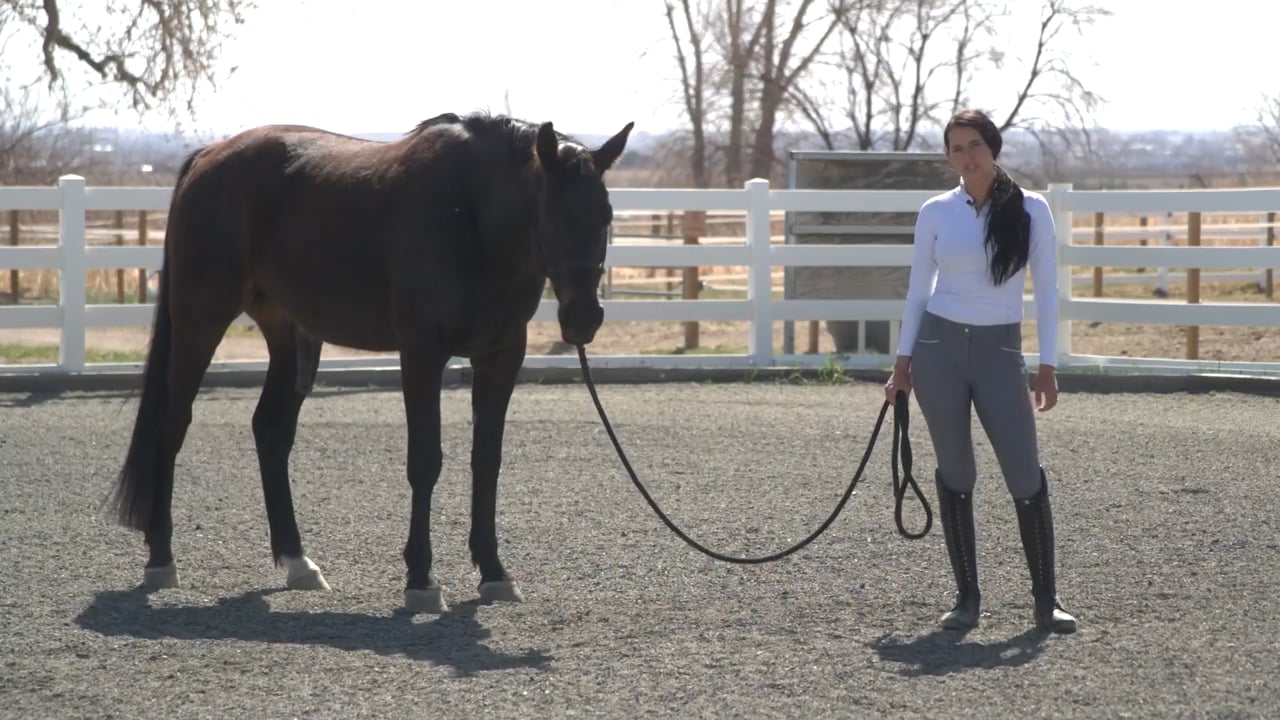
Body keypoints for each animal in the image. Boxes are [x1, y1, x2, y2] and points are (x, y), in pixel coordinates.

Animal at [106, 111, 634, 612]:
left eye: (606, 214)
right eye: (550, 212)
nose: (584, 318)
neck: (471, 216)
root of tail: (209, 157)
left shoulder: (501, 356)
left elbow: (487, 461)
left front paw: (494, 573)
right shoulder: (422, 352)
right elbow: (425, 461)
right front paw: (421, 580)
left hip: (289, 333)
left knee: (271, 431)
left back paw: (298, 563)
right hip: (201, 320)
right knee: (172, 426)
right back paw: (161, 559)